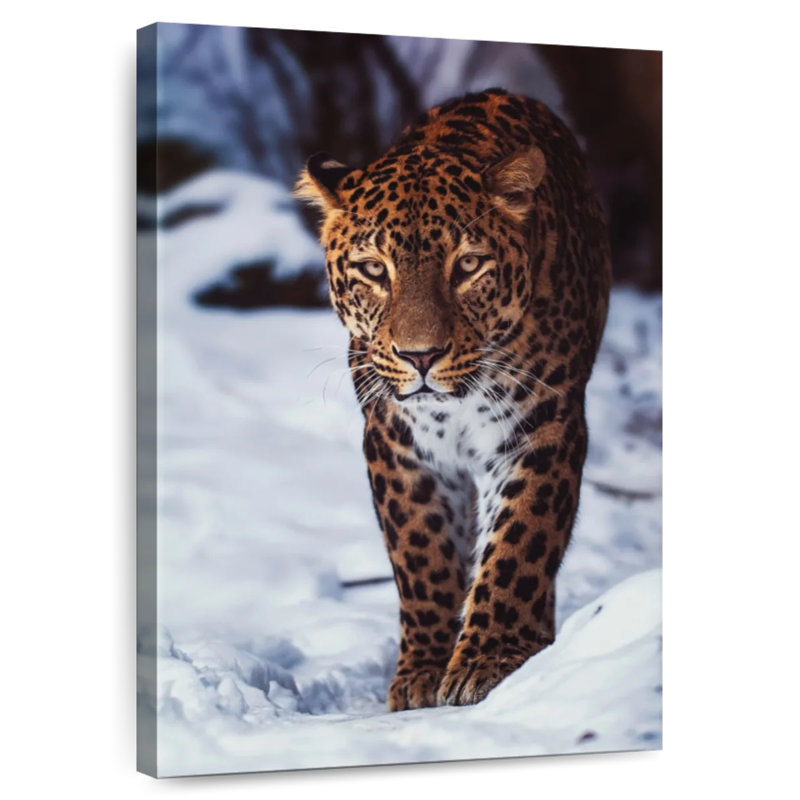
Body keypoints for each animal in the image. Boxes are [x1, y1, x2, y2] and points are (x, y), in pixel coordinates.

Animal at [295, 89, 611, 711]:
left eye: (468, 265)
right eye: (374, 269)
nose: (421, 356)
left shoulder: (541, 427)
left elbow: (519, 543)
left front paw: (489, 660)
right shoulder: (396, 439)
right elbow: (422, 555)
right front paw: (422, 673)